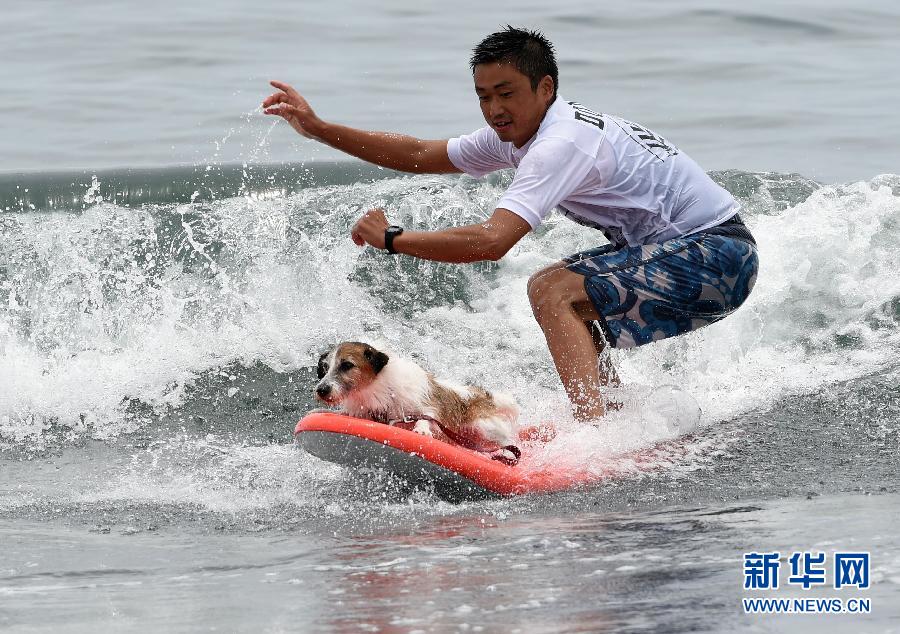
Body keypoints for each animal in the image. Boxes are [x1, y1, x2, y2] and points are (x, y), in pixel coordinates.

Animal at [314, 340, 520, 464]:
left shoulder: (427, 406)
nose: (321, 390)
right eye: (325, 367)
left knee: (507, 440)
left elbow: (427, 416)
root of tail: (485, 397)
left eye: (347, 365)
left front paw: (421, 429)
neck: (379, 388)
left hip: (483, 426)